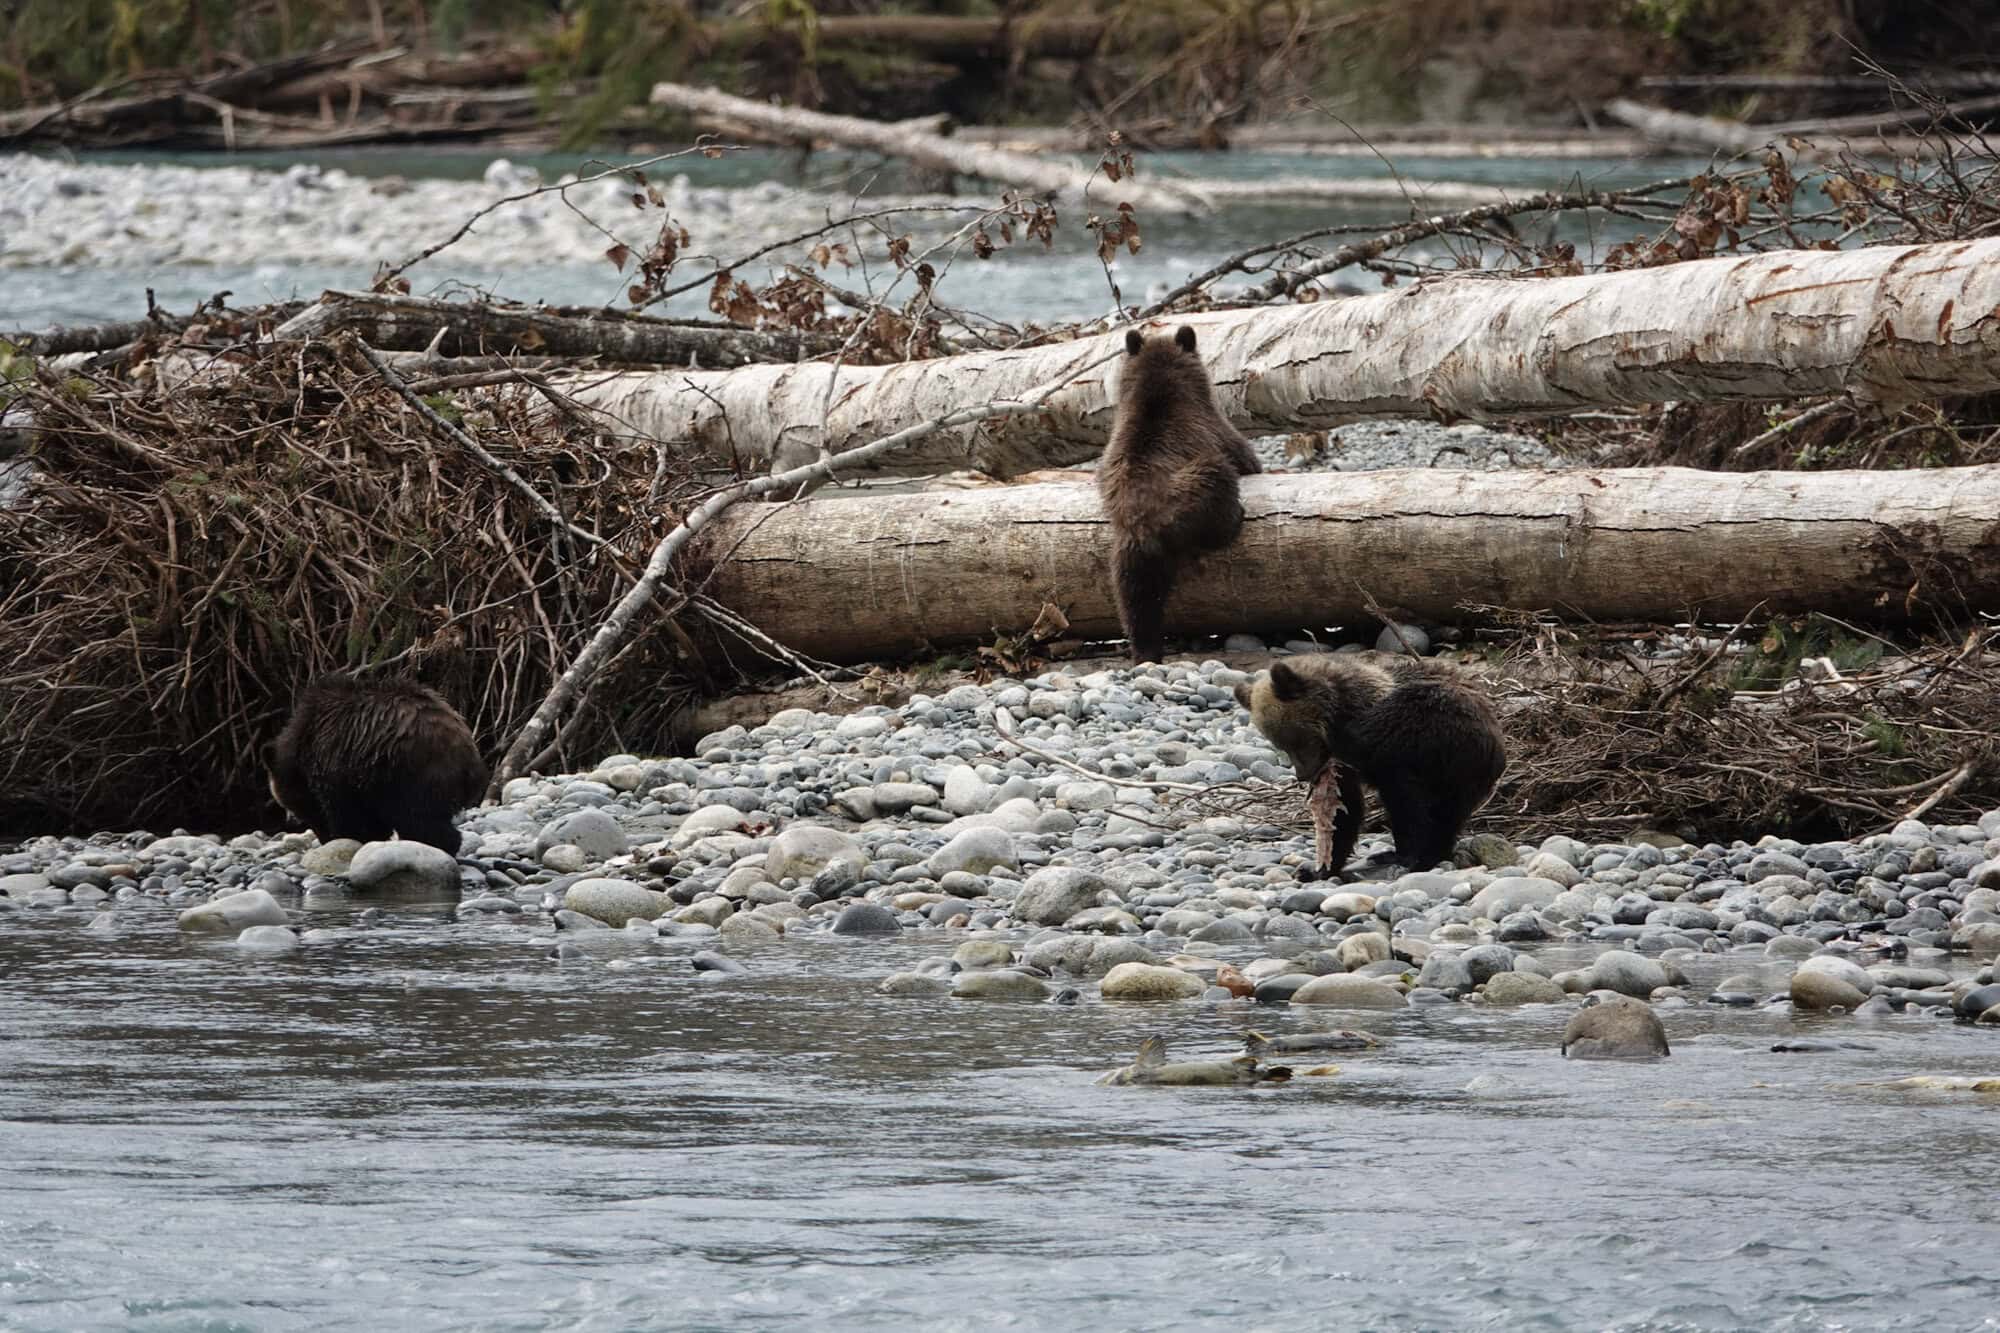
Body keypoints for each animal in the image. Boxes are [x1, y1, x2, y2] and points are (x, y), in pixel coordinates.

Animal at [266, 673, 487, 856]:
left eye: (299, 808)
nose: (323, 839)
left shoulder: (336, 764)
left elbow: (346, 812)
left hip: (416, 773)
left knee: (420, 819)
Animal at [1096, 324, 1261, 663]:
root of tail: (1146, 527)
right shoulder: (1216, 430)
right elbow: (1246, 458)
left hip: (1127, 556)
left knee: (1135, 602)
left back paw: (1145, 650)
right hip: (1194, 488)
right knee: (1217, 479)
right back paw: (1234, 519)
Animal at [1234, 652, 1506, 881]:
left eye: (1297, 739)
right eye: (1280, 745)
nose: (1304, 774)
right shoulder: (1343, 767)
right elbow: (1344, 809)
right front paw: (1319, 868)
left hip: (1436, 735)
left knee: (1409, 803)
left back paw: (1405, 855)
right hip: (1460, 776)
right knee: (1447, 814)